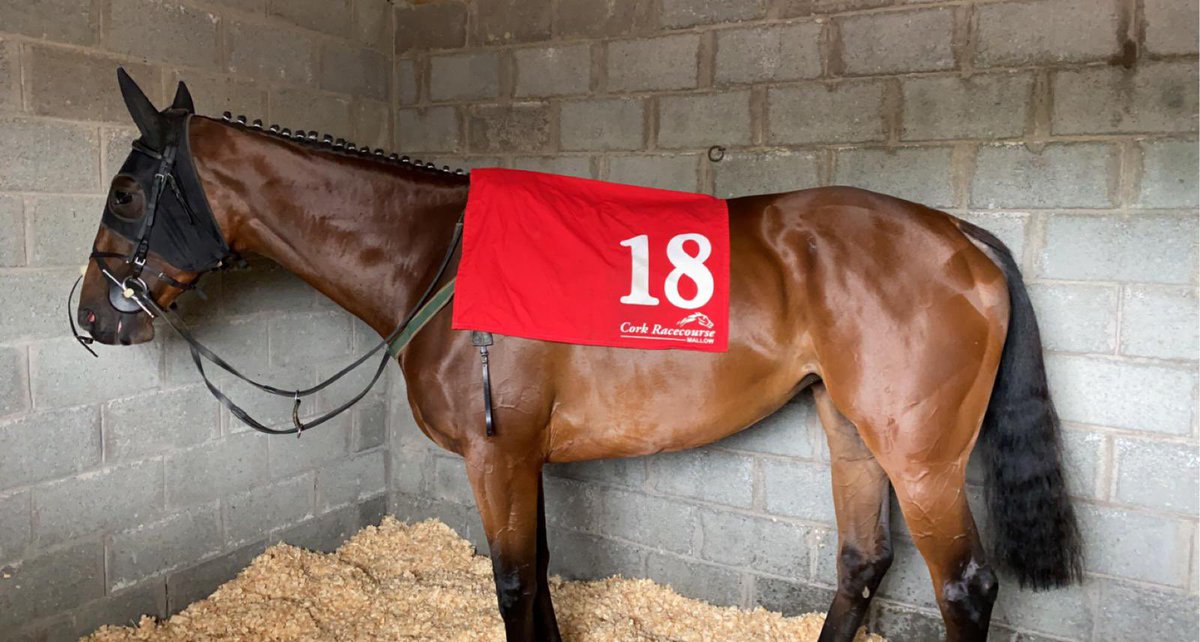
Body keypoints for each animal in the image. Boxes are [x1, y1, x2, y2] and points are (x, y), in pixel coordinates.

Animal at [74, 71, 1082, 642]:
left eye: (125, 193)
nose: (92, 319)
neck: (449, 260)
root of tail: (958, 236)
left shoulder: (496, 458)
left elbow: (516, 587)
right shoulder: (524, 459)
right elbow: (543, 579)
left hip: (922, 458)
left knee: (964, 588)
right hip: (849, 430)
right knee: (862, 561)